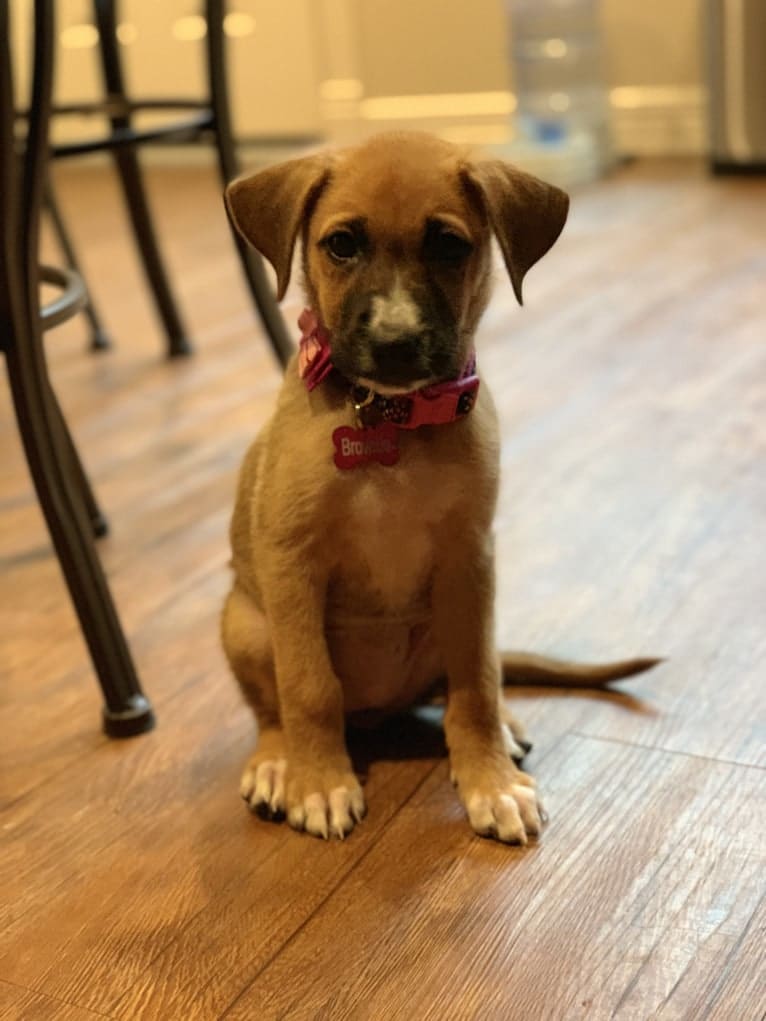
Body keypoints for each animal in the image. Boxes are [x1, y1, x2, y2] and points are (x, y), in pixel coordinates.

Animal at [223, 129, 661, 845]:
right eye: (342, 244)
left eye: (449, 246)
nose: (396, 344)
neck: (390, 418)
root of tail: (378, 713)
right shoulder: (292, 562)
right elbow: (308, 687)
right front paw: (319, 782)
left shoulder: (469, 560)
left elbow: (478, 684)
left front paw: (491, 783)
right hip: (245, 622)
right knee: (271, 710)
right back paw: (277, 763)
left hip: (451, 618)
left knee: (472, 682)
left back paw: (503, 731)